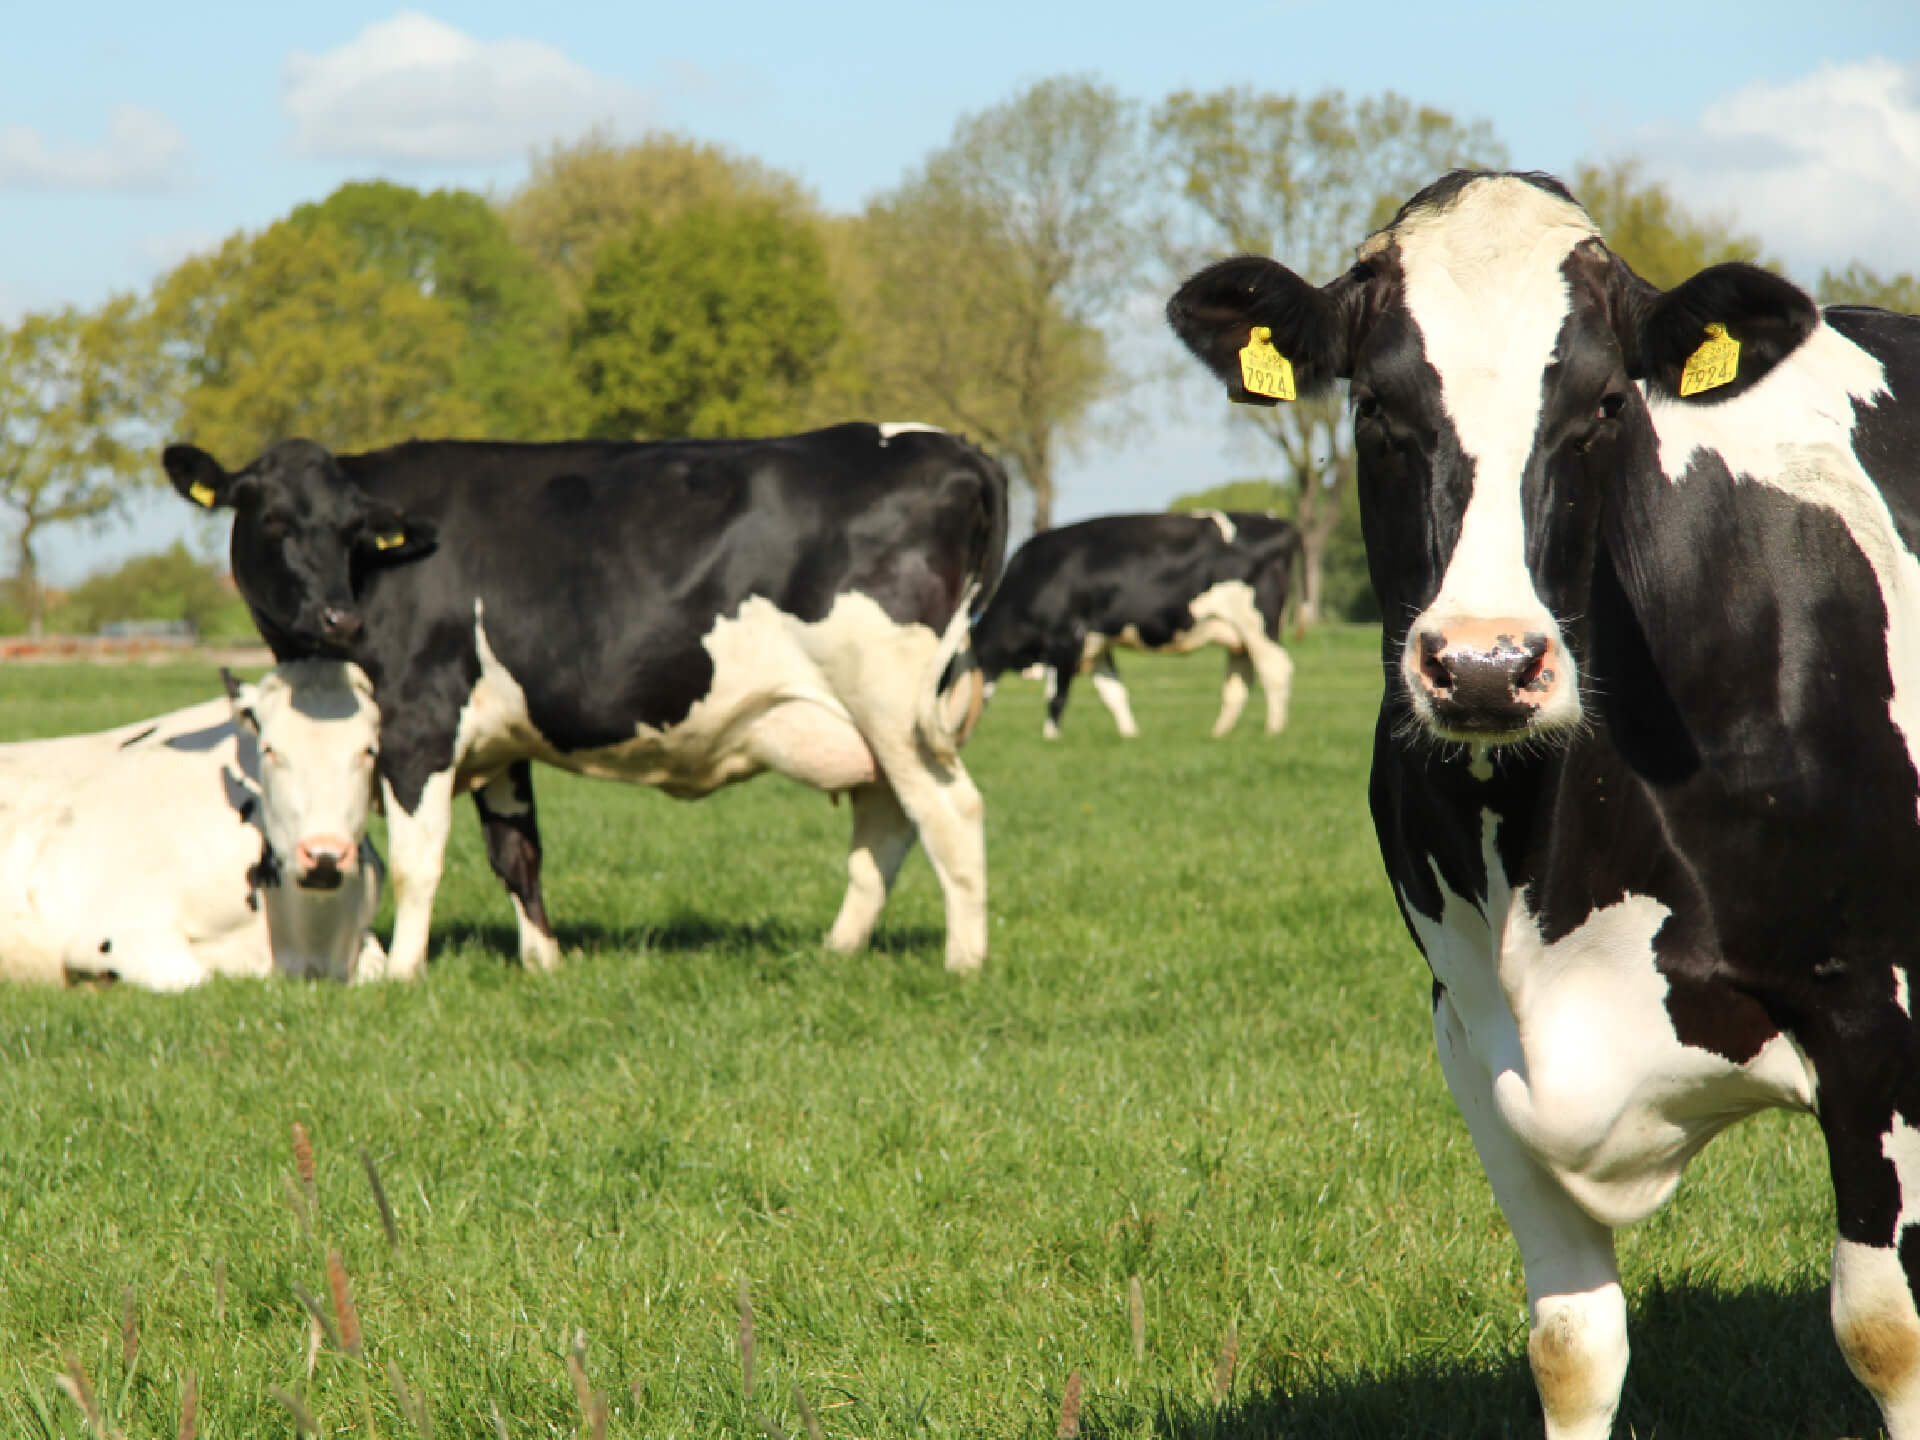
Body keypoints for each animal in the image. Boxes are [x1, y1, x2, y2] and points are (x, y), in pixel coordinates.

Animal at [160, 422, 1008, 980]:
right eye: (272, 519)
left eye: (353, 531)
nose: (338, 616)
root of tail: (958, 446)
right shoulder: (498, 740)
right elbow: (518, 853)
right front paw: (544, 961)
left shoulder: (418, 724)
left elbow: (415, 861)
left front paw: (402, 972)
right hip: (877, 726)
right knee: (886, 832)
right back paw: (837, 952)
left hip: (894, 708)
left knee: (951, 815)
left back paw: (963, 961)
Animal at [969, 511, 1300, 739]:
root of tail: (1280, 524)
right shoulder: (1097, 644)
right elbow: (1114, 693)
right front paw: (1130, 735)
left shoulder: (1066, 638)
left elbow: (1056, 697)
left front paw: (1050, 738)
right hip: (1237, 636)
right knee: (1238, 684)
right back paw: (1219, 734)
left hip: (1258, 625)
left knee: (1275, 669)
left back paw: (1274, 730)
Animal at [1169, 168, 1920, 1437]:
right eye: (1377, 405)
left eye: (1607, 404)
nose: (1483, 664)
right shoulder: (1474, 1032)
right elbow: (1571, 1348)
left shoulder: (1877, 1010)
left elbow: (1884, 1329)